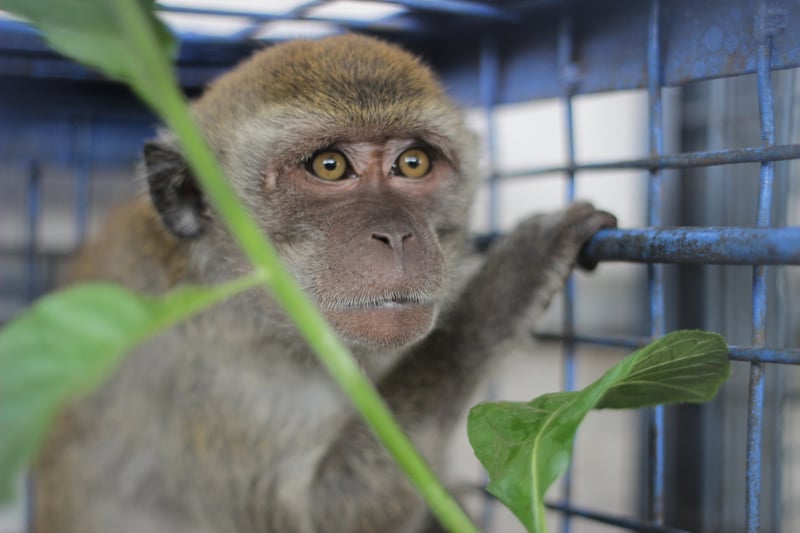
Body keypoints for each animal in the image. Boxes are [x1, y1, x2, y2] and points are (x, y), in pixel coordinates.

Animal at [31, 34, 616, 532]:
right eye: (330, 165)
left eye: (413, 162)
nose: (395, 235)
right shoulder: (209, 379)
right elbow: (318, 514)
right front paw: (503, 290)